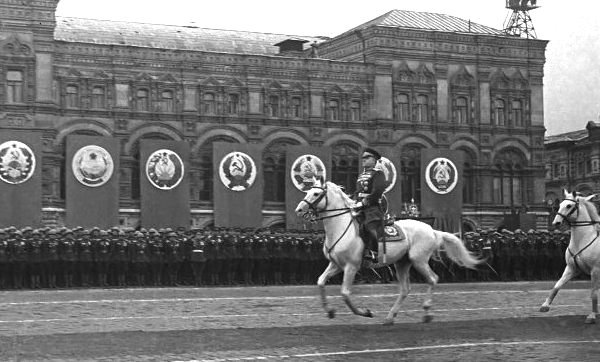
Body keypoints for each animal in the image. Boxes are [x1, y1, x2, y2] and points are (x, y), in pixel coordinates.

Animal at [292, 181, 480, 326]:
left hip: (418, 260)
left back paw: (426, 313)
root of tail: (432, 230)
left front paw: (365, 312)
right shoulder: (336, 264)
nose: (299, 210)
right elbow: (320, 282)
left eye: (316, 193)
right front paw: (330, 311)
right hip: (402, 263)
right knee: (405, 289)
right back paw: (390, 317)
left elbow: (345, 293)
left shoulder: (351, 267)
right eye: (307, 191)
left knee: (433, 279)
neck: (341, 227)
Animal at [540, 191, 600, 324]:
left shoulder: (595, 271)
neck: (582, 241)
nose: (555, 223)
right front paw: (545, 305)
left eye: (569, 206)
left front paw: (592, 315)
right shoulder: (571, 268)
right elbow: (557, 286)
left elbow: (593, 293)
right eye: (560, 204)